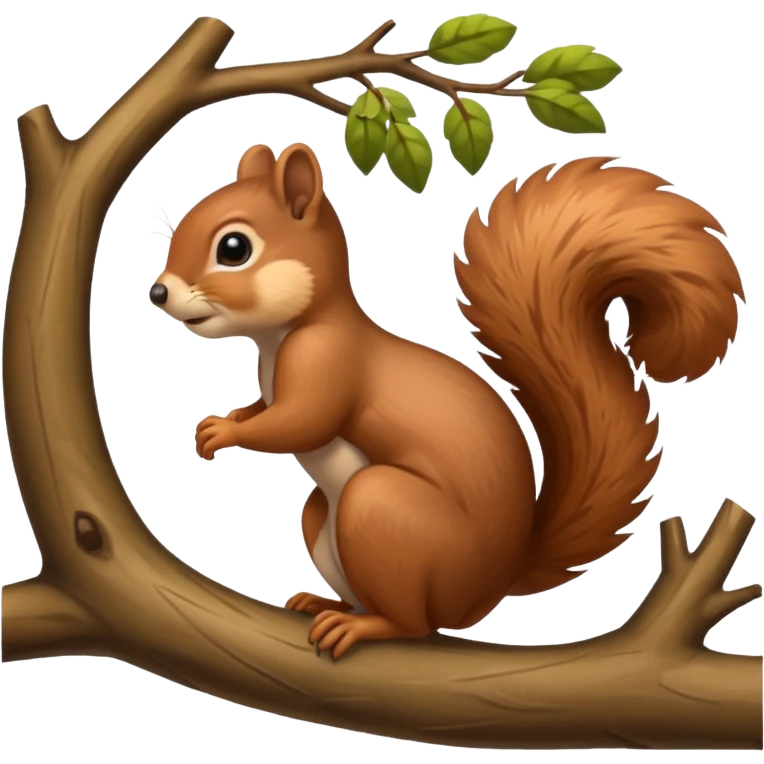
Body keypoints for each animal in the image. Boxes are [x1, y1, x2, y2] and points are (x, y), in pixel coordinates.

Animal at [149, 142, 744, 660]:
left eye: (234, 248)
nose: (158, 292)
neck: (282, 336)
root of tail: (491, 585)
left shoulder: (328, 362)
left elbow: (299, 422)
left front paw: (226, 432)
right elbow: (264, 409)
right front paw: (218, 423)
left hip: (380, 509)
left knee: (415, 623)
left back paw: (362, 626)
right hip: (324, 517)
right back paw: (325, 603)